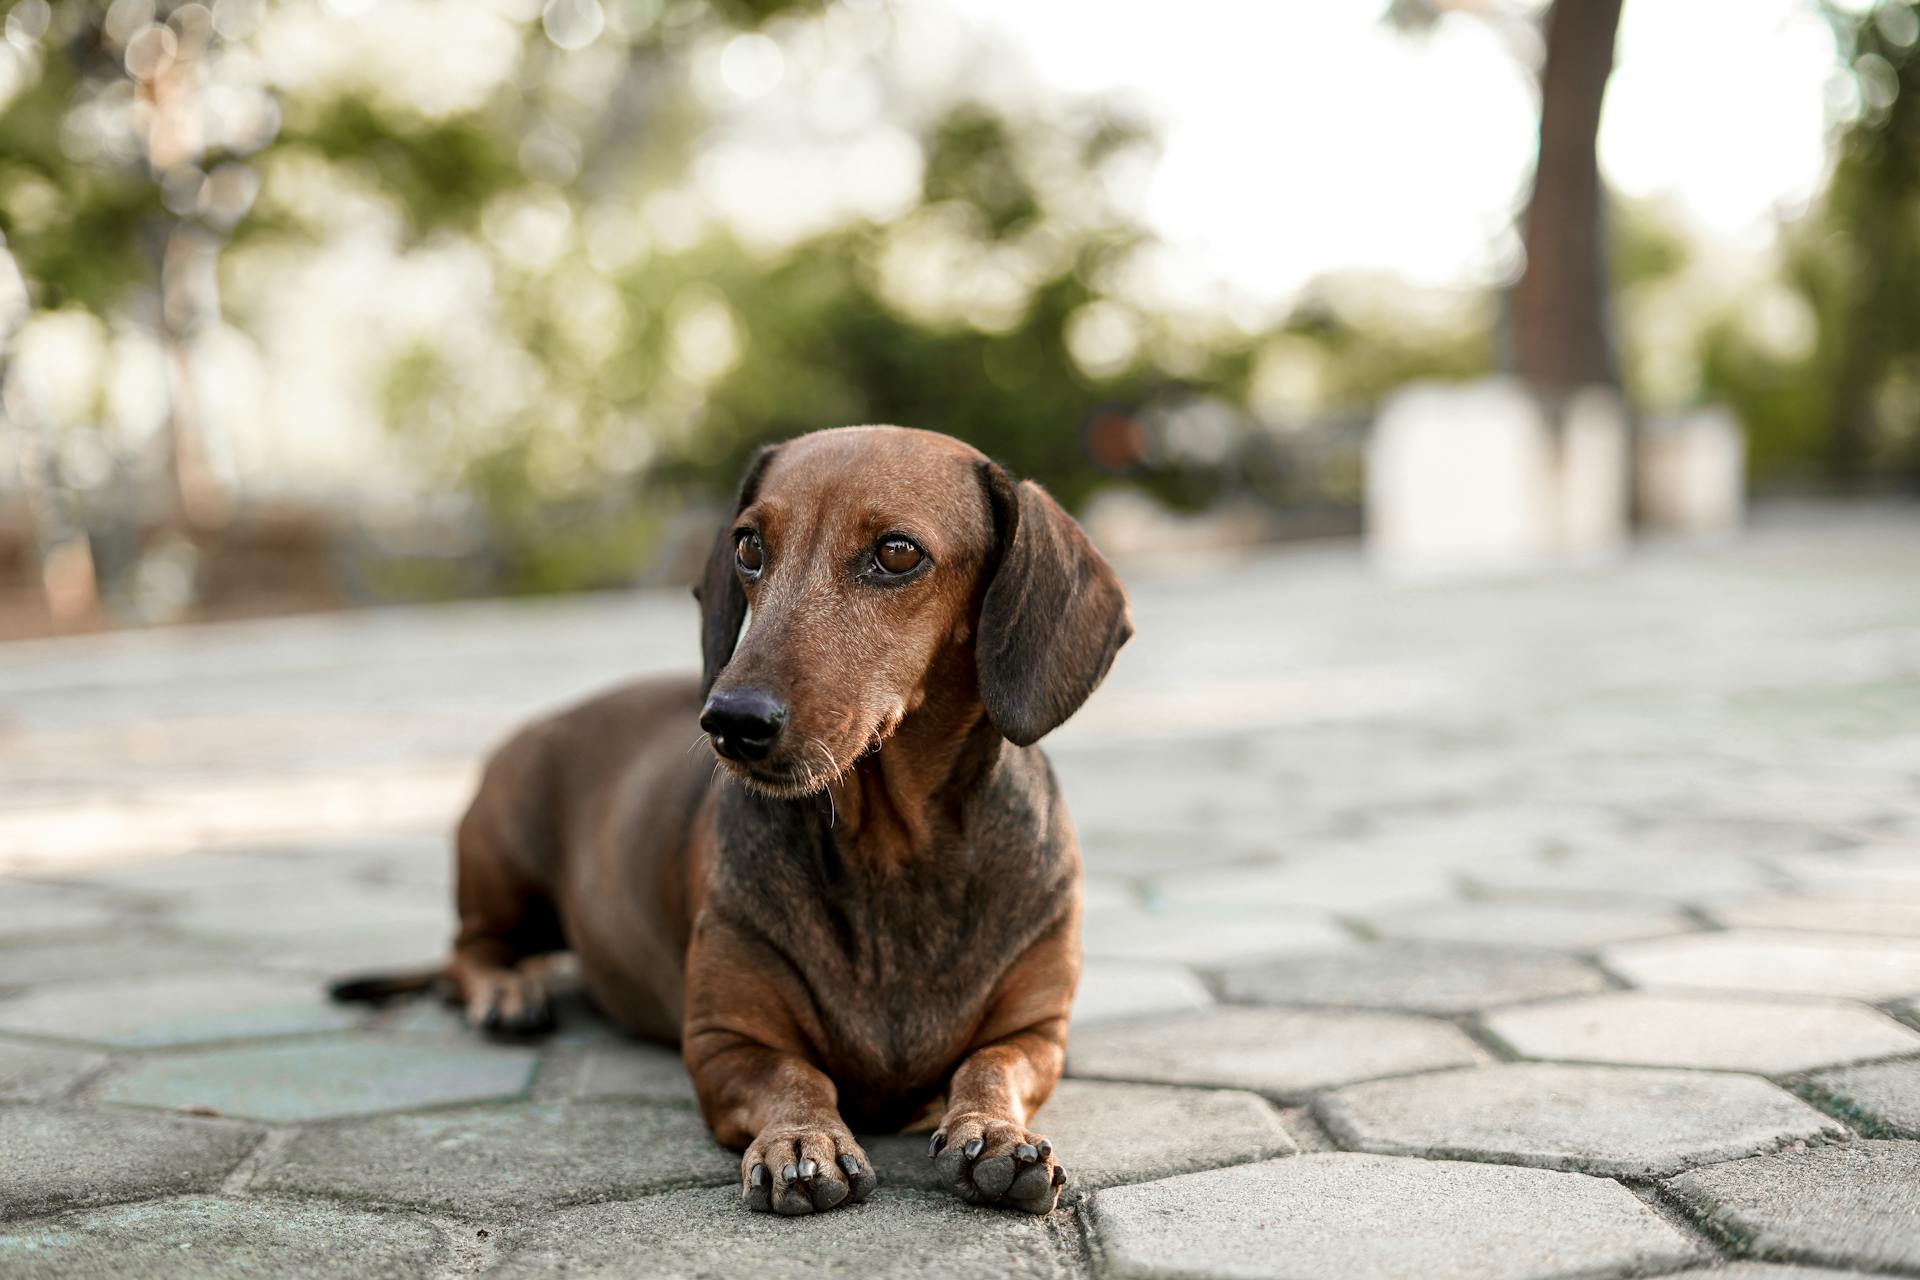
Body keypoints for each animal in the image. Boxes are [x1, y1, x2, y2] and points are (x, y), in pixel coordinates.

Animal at [337, 426, 1128, 1220]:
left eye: (898, 553)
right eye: (749, 545)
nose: (731, 719)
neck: (893, 853)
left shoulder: (1038, 1035)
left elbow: (990, 1065)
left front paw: (995, 1133)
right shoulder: (723, 1042)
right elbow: (795, 1076)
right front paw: (802, 1141)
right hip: (503, 863)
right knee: (468, 951)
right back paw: (506, 991)